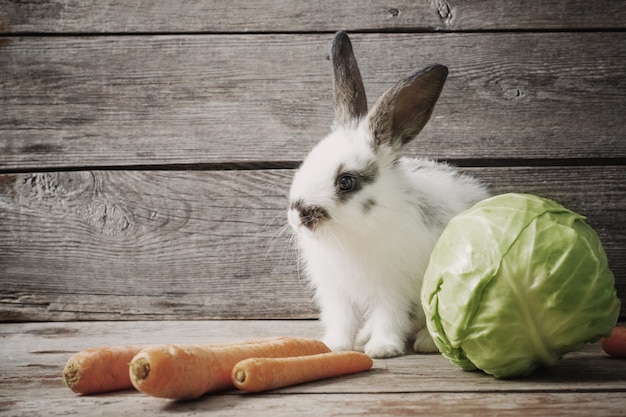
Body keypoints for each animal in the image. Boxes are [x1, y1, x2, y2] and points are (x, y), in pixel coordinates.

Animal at [288, 32, 488, 358]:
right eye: (307, 161)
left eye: (346, 181)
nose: (297, 215)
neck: (350, 237)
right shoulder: (336, 293)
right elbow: (342, 320)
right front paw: (335, 346)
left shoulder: (394, 289)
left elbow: (389, 317)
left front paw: (382, 349)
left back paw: (424, 342)